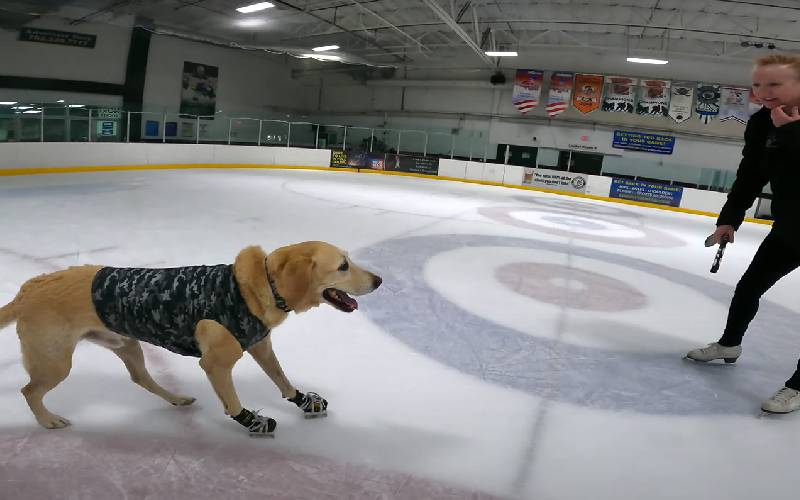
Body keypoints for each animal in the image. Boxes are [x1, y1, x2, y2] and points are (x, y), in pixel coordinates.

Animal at [0, 241, 382, 434]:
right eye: (343, 266)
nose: (379, 280)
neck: (256, 287)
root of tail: (29, 289)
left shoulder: (260, 346)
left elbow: (282, 380)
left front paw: (304, 401)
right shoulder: (216, 364)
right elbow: (232, 403)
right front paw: (252, 420)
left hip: (127, 344)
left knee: (141, 378)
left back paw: (177, 398)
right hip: (55, 362)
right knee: (29, 391)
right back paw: (48, 420)